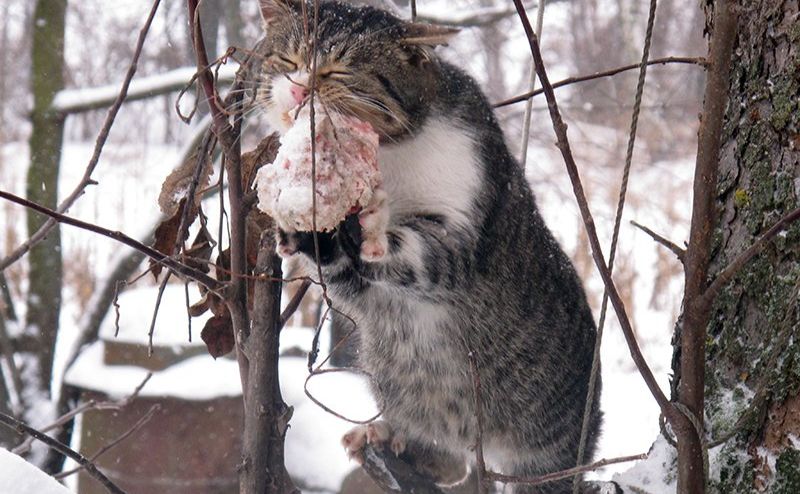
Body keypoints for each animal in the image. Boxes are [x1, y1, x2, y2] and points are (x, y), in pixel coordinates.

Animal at [255, 1, 600, 492]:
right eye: (287, 61)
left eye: (339, 69)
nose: (301, 88)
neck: (389, 157)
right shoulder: (357, 287)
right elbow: (343, 270)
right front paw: (306, 226)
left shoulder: (460, 225)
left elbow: (421, 251)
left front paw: (372, 225)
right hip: (395, 379)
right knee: (449, 458)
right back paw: (393, 440)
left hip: (549, 451)